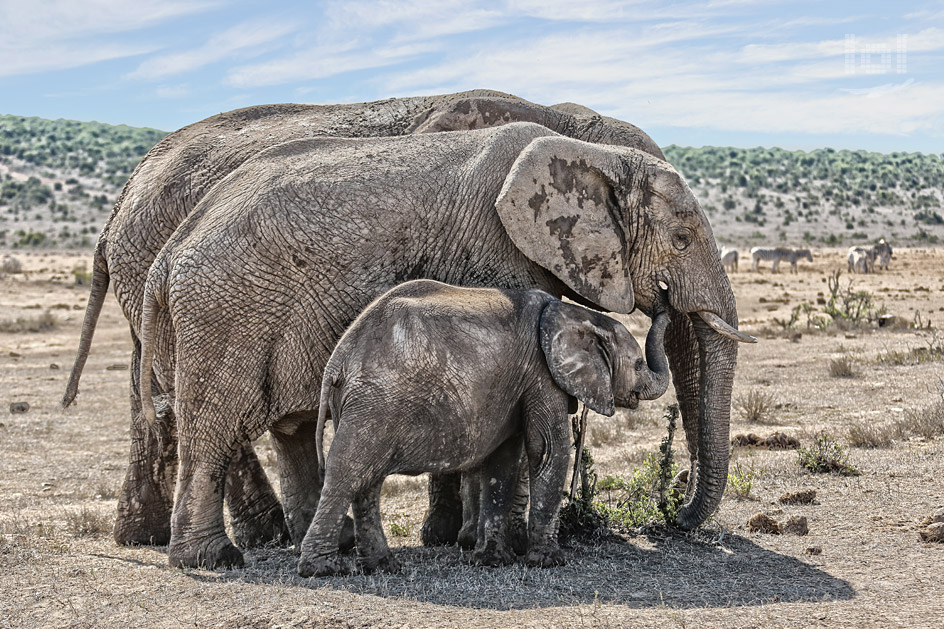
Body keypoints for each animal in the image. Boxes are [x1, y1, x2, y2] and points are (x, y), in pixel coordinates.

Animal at [298, 278, 668, 576]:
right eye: (638, 364)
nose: (662, 296)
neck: (570, 313)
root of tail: (337, 361)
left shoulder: (513, 385)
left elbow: (502, 460)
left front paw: (491, 560)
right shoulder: (540, 373)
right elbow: (547, 449)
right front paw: (548, 562)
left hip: (363, 405)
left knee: (368, 481)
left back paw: (383, 566)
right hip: (373, 403)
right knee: (347, 472)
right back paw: (323, 569)